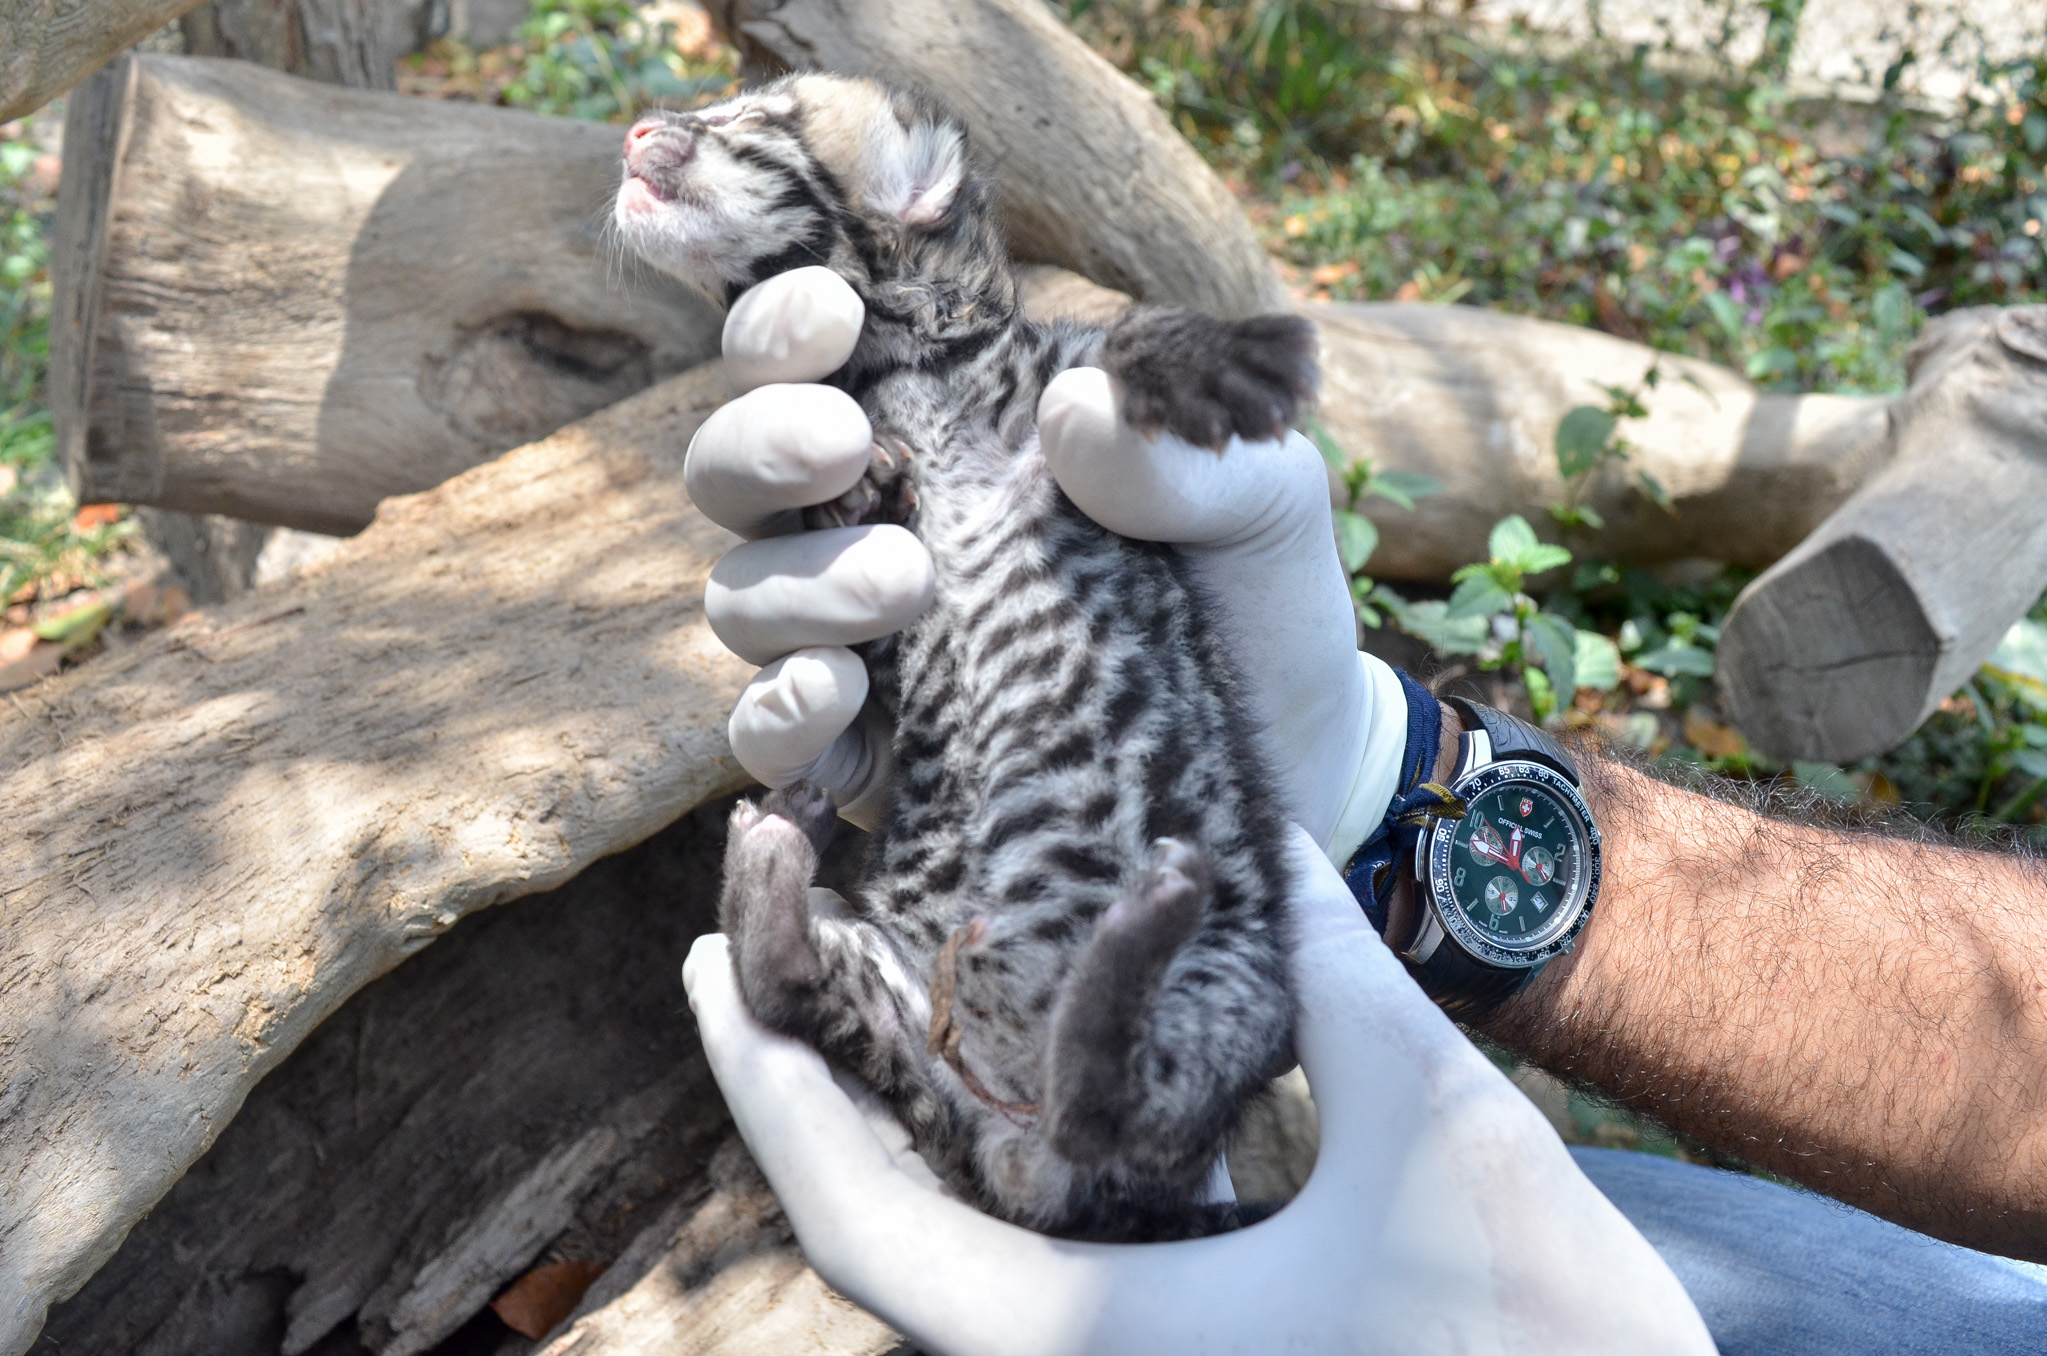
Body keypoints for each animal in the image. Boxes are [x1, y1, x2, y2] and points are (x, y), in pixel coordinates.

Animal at [610, 74, 1310, 1245]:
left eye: (751, 117)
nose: (633, 129)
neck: (901, 366)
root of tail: (1013, 1148)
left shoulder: (1052, 385)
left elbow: (1119, 344)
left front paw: (1222, 356)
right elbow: (833, 503)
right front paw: (855, 486)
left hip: (1235, 984)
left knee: (1104, 1103)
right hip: (894, 981)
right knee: (794, 990)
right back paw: (776, 856)